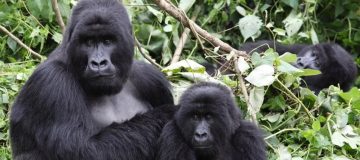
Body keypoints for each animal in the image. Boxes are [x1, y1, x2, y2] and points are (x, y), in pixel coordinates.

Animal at [9, 0, 174, 160]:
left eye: (107, 41)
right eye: (88, 42)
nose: (98, 63)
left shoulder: (151, 78)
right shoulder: (51, 81)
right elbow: (85, 149)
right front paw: (168, 113)